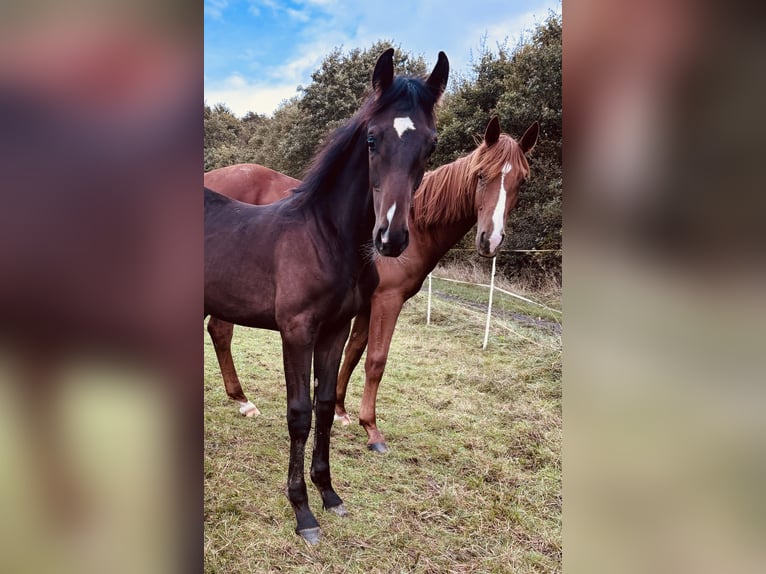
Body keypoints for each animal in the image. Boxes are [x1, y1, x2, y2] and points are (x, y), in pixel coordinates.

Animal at [204, 49, 450, 544]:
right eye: (372, 138)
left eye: (431, 145)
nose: (391, 238)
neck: (325, 237)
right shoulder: (297, 331)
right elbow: (299, 413)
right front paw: (302, 511)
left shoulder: (335, 330)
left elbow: (322, 405)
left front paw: (329, 494)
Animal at [204, 117, 540, 454]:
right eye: (481, 175)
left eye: (522, 181)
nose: (490, 240)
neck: (413, 224)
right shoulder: (388, 300)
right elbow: (376, 361)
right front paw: (372, 430)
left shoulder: (361, 306)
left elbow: (353, 353)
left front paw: (341, 411)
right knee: (221, 332)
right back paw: (242, 400)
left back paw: (242, 400)